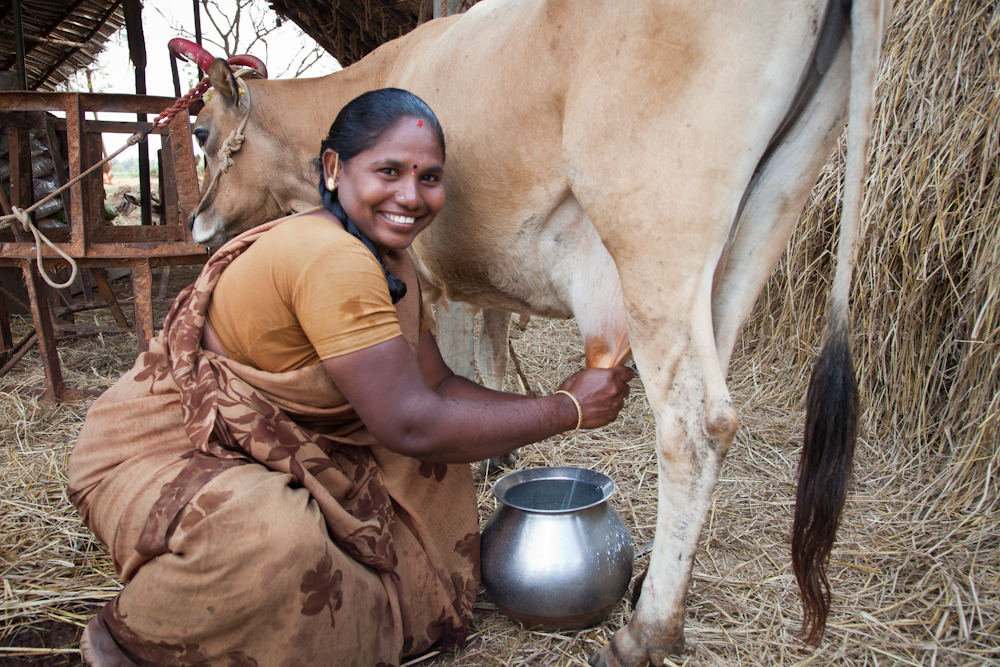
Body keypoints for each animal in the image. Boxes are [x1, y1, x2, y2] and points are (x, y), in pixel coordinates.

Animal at [186, 2, 892, 664]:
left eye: (199, 130)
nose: (196, 222)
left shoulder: (425, 273)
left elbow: (447, 366)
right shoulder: (489, 279)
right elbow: (493, 354)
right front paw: (498, 454)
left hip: (654, 230)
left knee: (695, 425)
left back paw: (646, 632)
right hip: (767, 213)